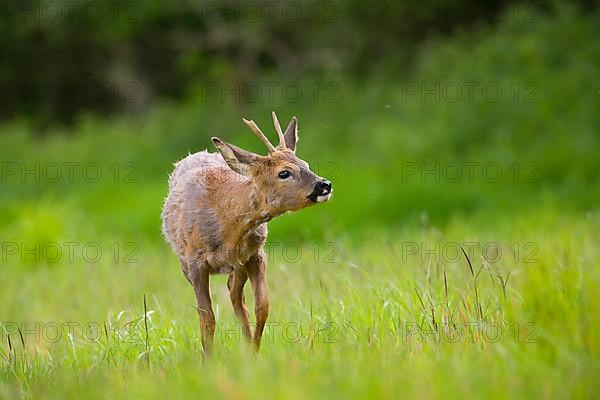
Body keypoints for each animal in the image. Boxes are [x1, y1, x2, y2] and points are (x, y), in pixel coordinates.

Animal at [162, 112, 332, 354]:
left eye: (306, 164)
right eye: (284, 173)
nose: (324, 185)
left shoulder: (255, 254)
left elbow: (262, 306)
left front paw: (254, 352)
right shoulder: (195, 261)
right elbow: (207, 317)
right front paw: (208, 358)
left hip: (238, 265)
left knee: (236, 296)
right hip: (186, 263)